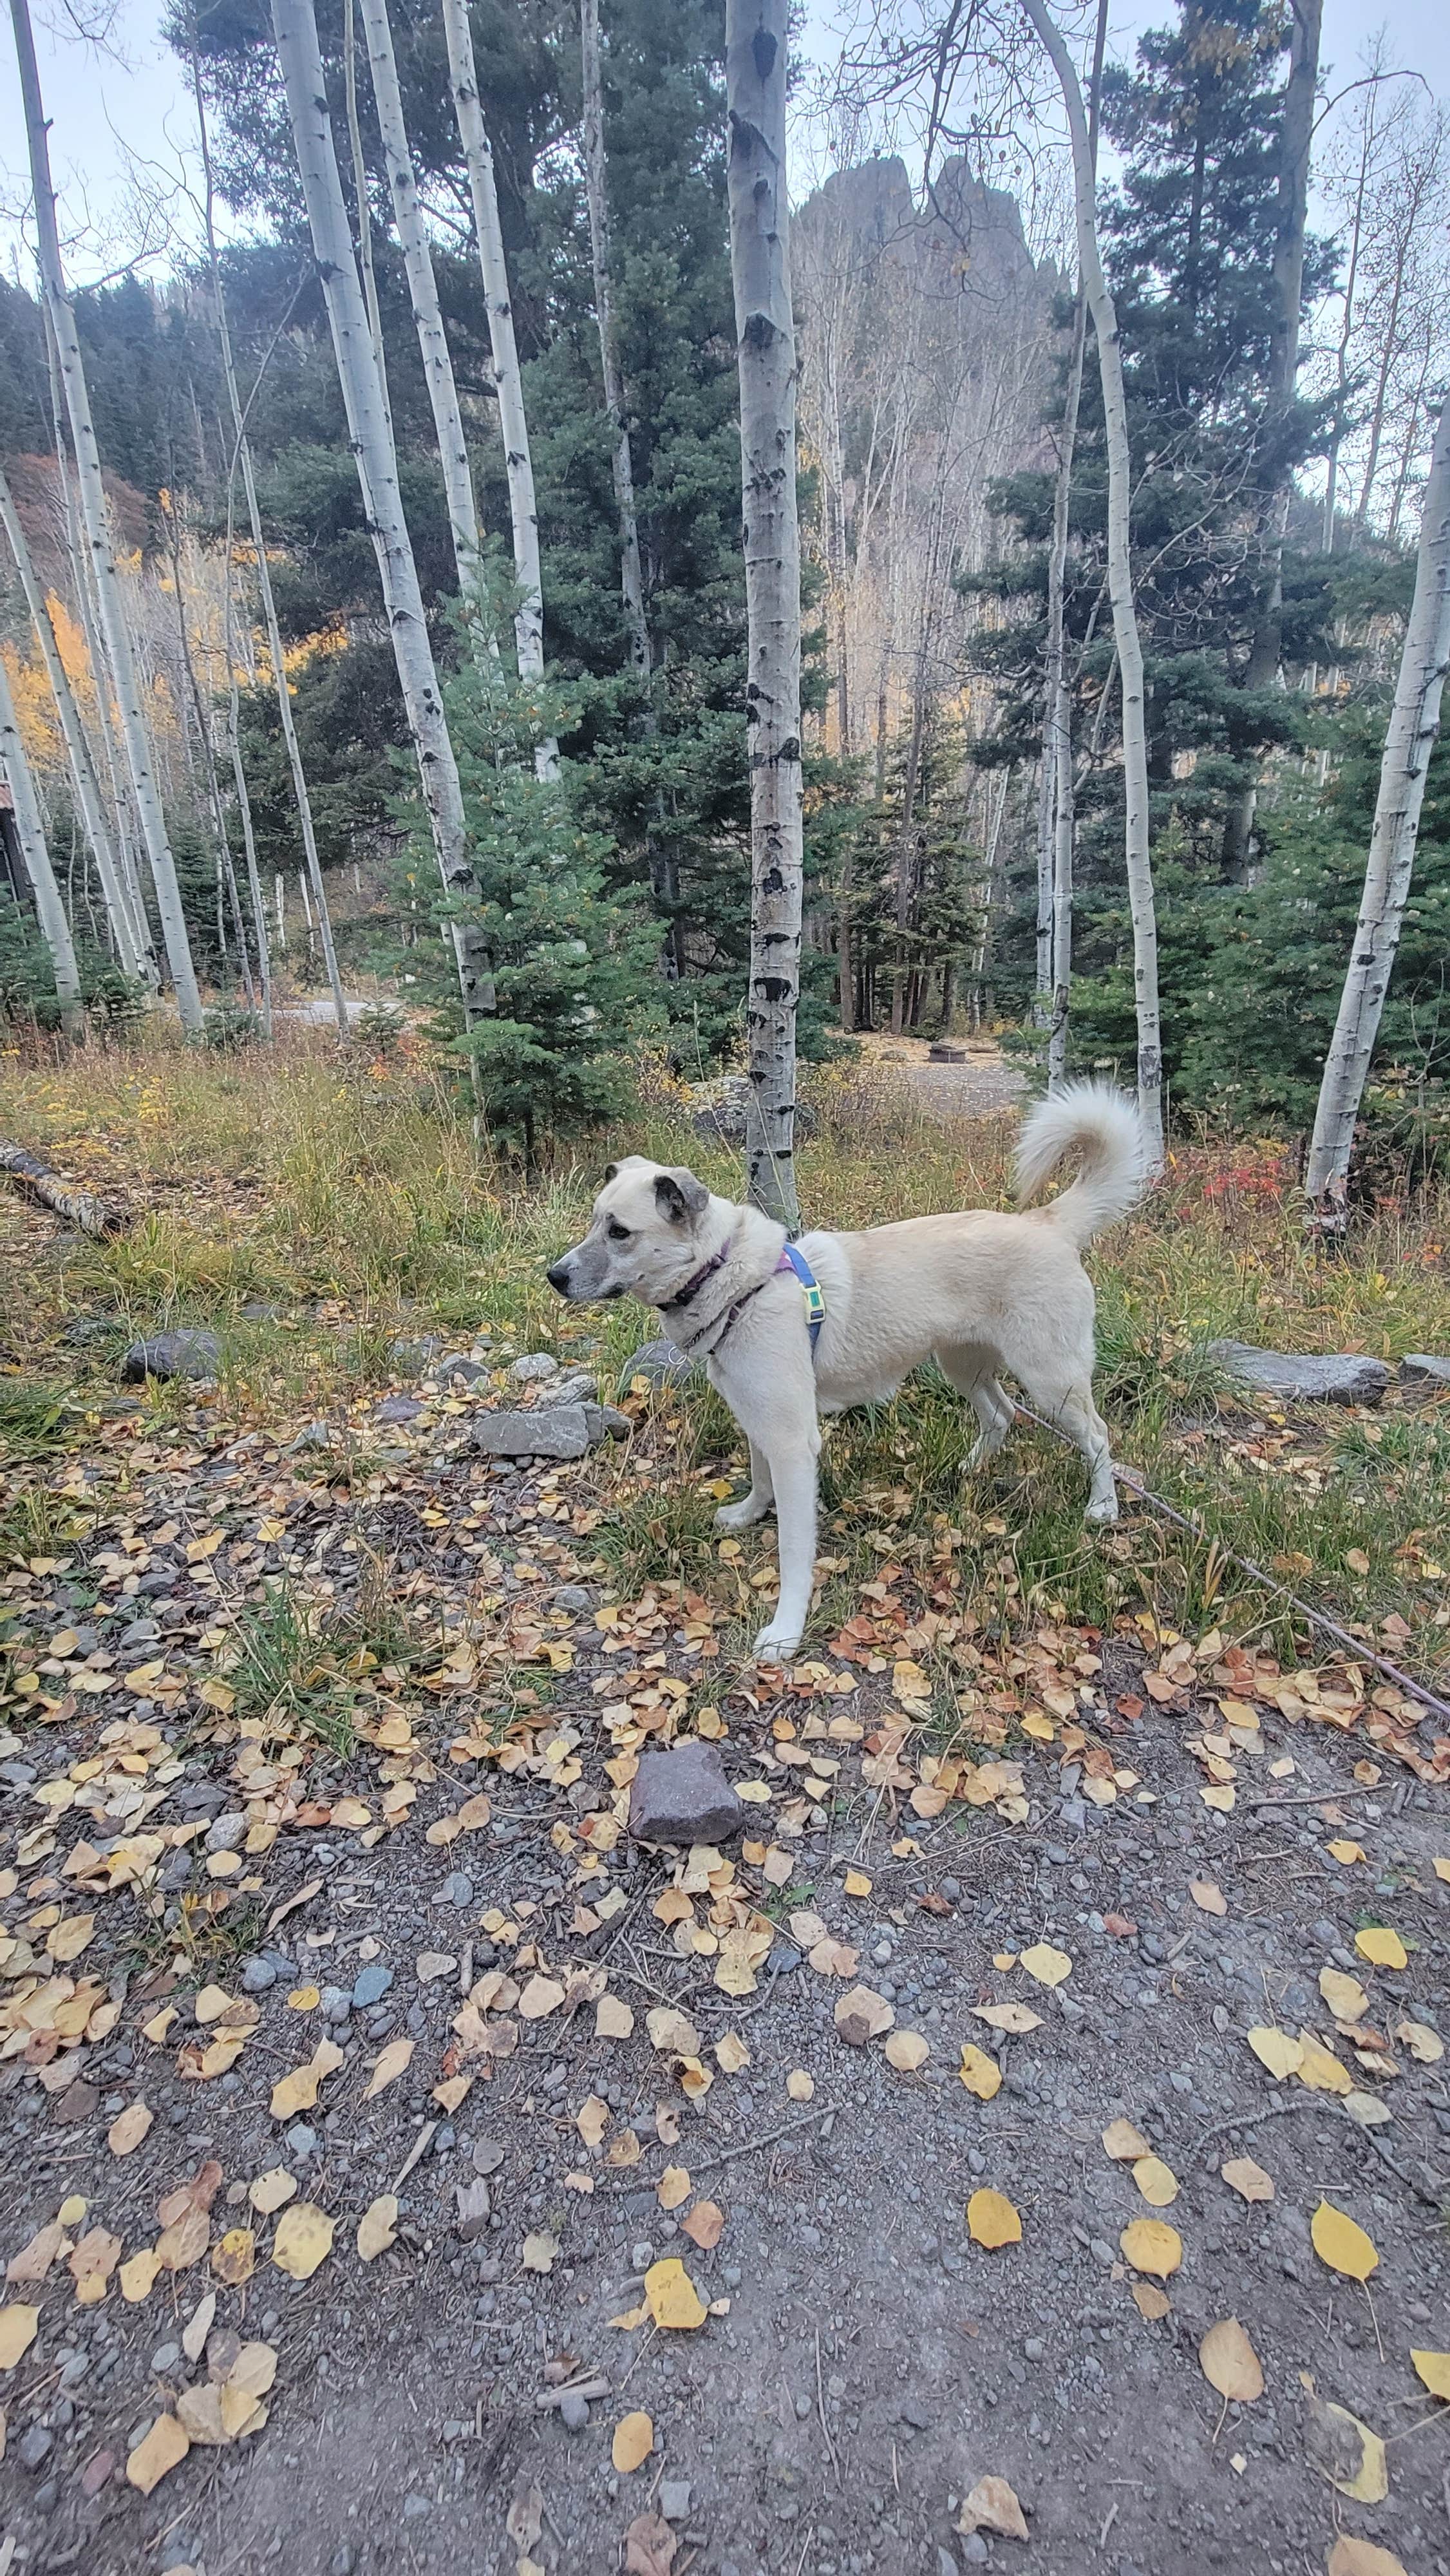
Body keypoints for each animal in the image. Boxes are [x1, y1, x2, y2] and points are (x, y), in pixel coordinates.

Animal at [551, 1077, 1154, 1659]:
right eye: (595, 1222)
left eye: (619, 1232)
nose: (554, 1277)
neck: (732, 1279)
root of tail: (1046, 1223)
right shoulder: (760, 1422)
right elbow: (760, 1480)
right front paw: (748, 1514)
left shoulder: (794, 1443)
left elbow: (793, 1550)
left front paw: (786, 1633)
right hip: (964, 1366)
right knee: (1001, 1415)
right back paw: (971, 1468)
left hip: (1052, 1381)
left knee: (1098, 1436)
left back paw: (1103, 1507)